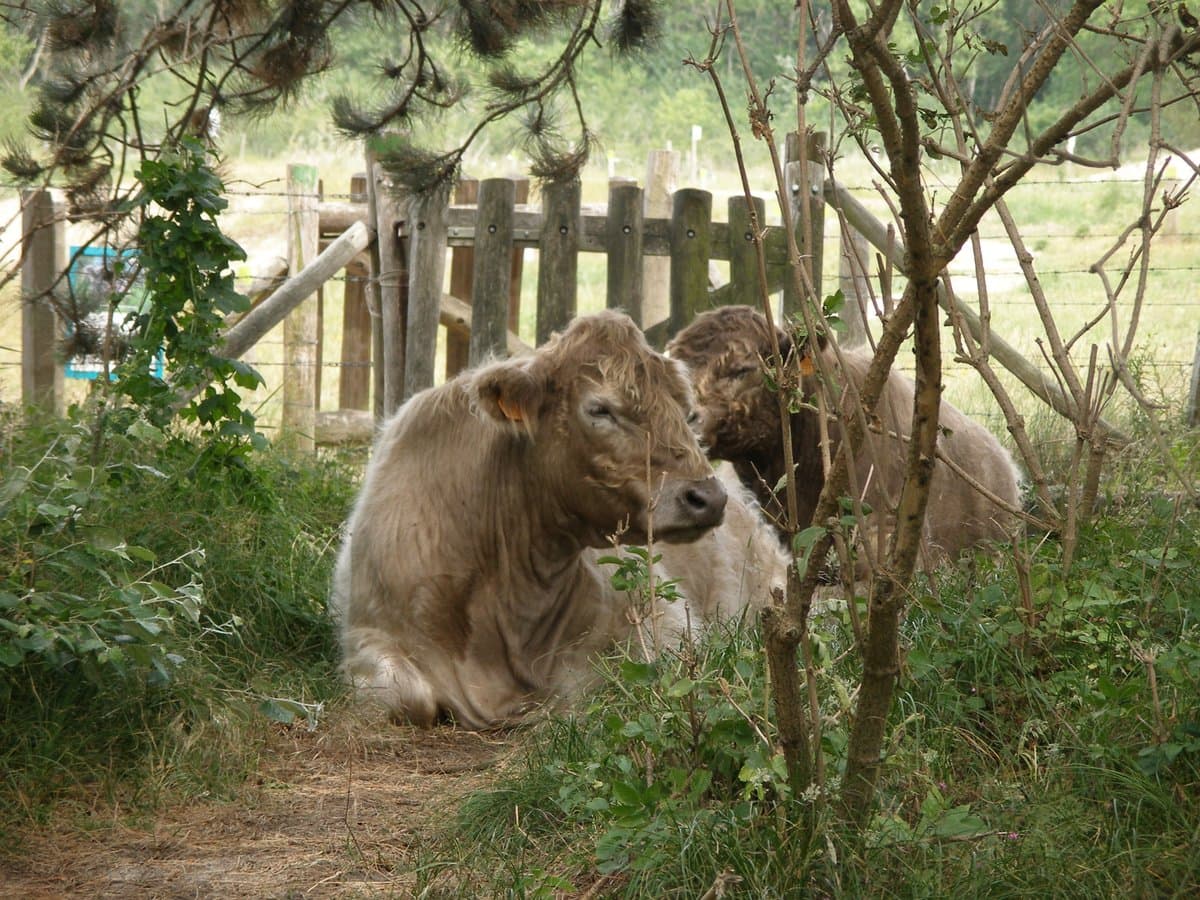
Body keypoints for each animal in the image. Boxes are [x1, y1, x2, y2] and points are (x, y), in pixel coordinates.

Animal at [330, 310, 786, 729]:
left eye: (685, 410)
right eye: (599, 409)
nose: (708, 498)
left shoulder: (661, 625)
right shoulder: (368, 637)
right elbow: (406, 695)